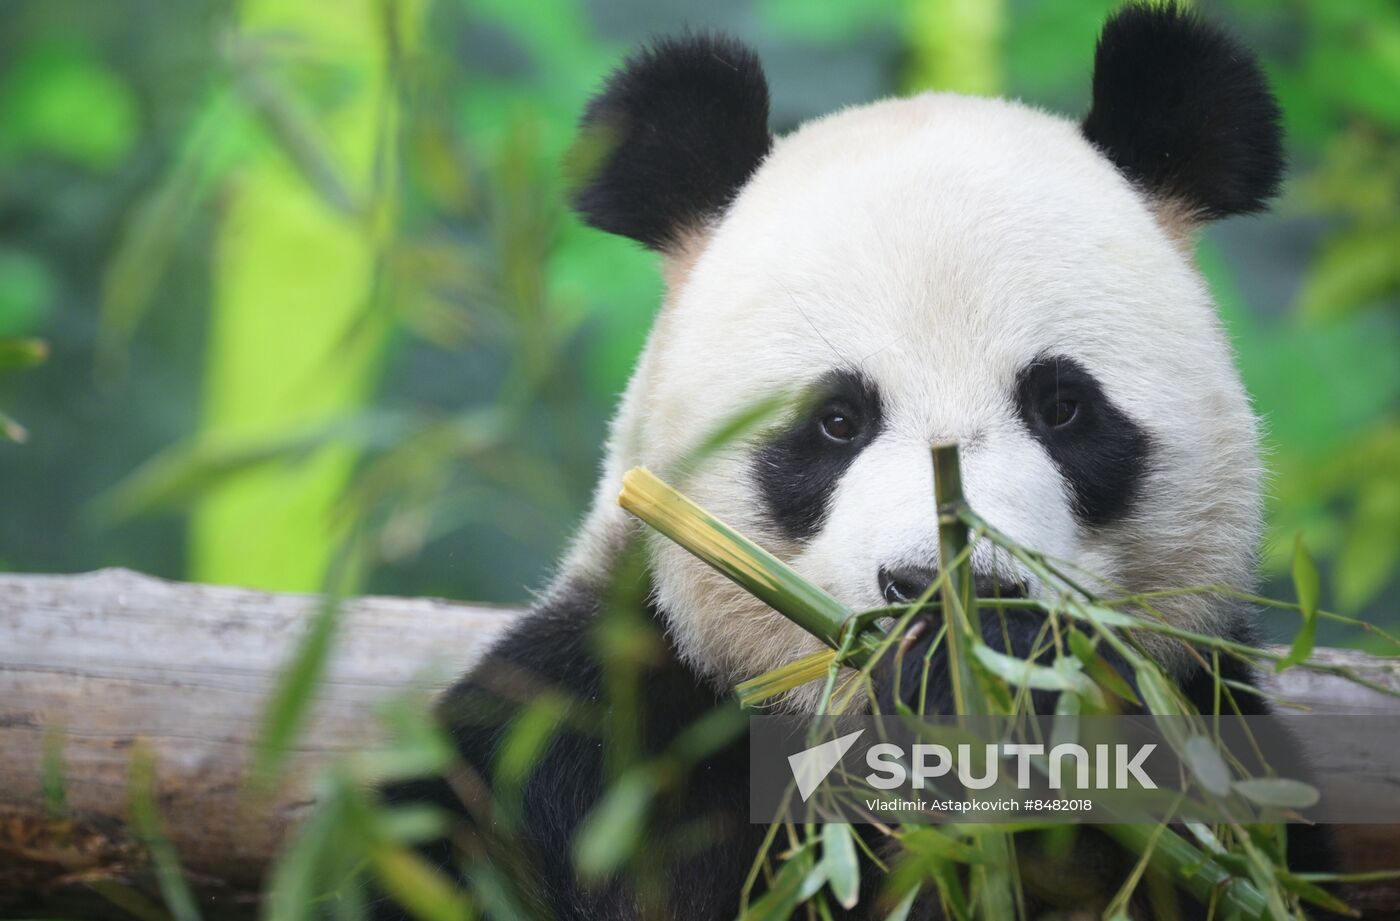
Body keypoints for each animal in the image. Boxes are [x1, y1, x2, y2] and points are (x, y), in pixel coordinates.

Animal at [379, 4, 1336, 919]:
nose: (940, 590)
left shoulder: (1210, 724)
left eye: (1062, 407)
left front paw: (988, 674)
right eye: (837, 421)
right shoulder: (598, 729)